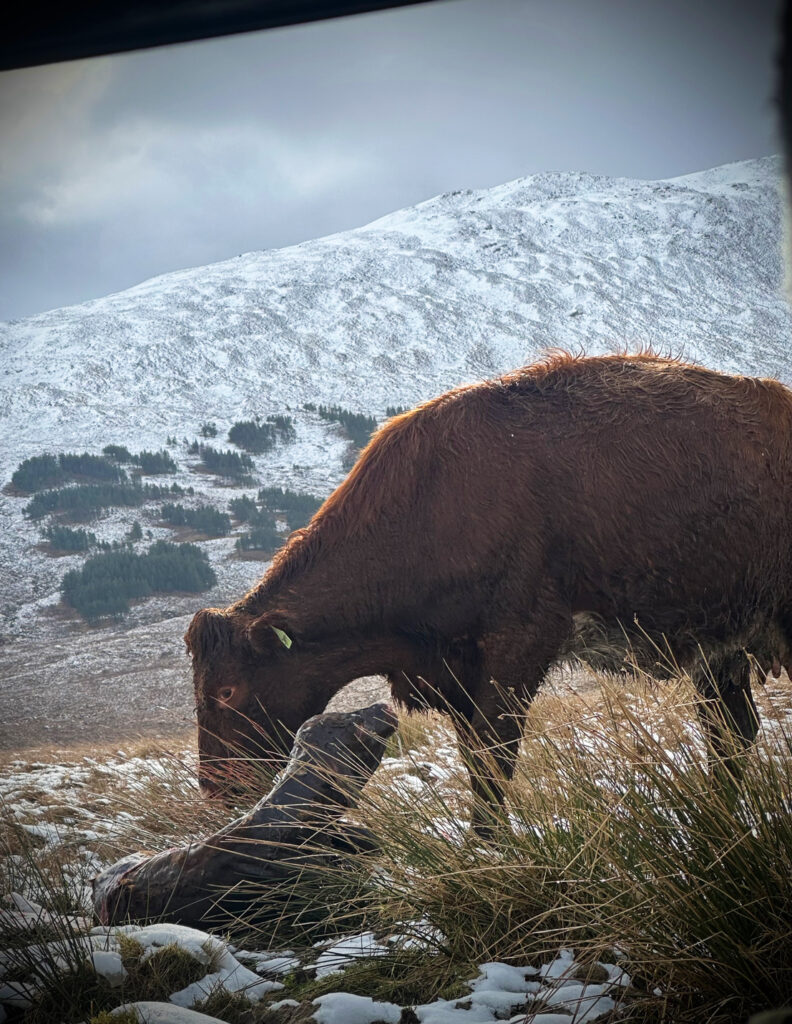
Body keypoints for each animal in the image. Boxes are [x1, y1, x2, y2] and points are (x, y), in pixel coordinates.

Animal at [186, 352, 792, 832]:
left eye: (227, 691)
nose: (217, 789)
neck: (430, 501)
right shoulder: (458, 675)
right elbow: (477, 762)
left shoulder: (518, 648)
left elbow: (493, 764)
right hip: (718, 650)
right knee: (731, 734)